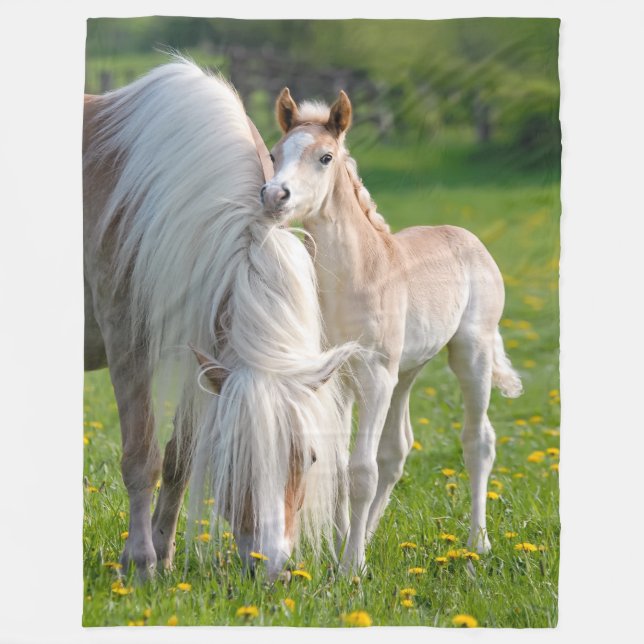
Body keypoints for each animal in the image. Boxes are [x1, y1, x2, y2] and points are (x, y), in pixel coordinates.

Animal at [83, 58, 356, 581]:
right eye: (235, 458)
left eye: (310, 457)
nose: (272, 567)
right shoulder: (128, 344)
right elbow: (142, 457)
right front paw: (141, 562)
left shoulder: (204, 351)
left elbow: (179, 459)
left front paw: (163, 553)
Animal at [261, 88, 523, 573]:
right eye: (274, 153)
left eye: (325, 157)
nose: (274, 196)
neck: (355, 276)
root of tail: (467, 236)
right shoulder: (338, 378)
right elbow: (342, 466)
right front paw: (343, 549)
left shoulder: (374, 373)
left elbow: (361, 469)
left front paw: (351, 569)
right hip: (406, 372)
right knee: (397, 450)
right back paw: (369, 534)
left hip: (469, 354)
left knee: (478, 441)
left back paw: (478, 543)